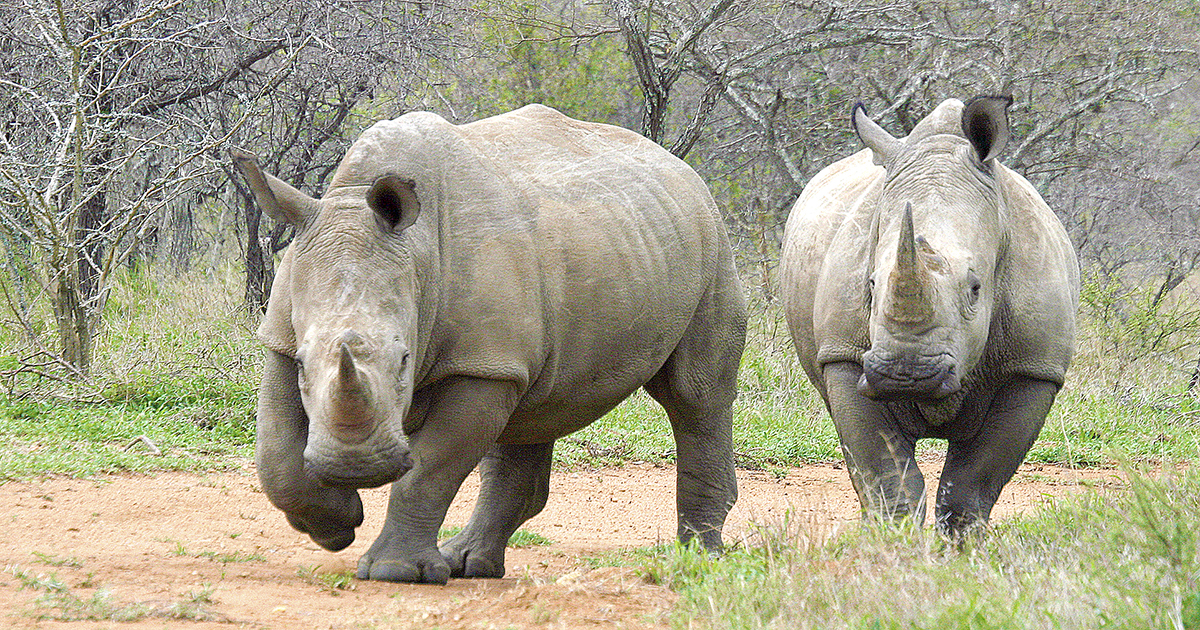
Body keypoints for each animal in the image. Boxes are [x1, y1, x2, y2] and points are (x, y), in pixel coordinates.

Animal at [232, 104, 747, 584]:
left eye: (404, 361)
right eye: (303, 365)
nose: (356, 467)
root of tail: (682, 168)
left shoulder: (481, 363)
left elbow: (430, 469)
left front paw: (394, 570)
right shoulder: (282, 333)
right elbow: (275, 455)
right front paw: (335, 524)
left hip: (713, 243)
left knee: (695, 396)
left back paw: (698, 561)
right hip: (609, 248)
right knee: (535, 410)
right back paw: (468, 563)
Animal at [779, 97, 1079, 535]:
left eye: (976, 288)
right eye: (871, 283)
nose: (905, 374)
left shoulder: (1033, 368)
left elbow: (971, 485)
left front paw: (962, 546)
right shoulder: (845, 354)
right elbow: (888, 479)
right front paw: (892, 543)